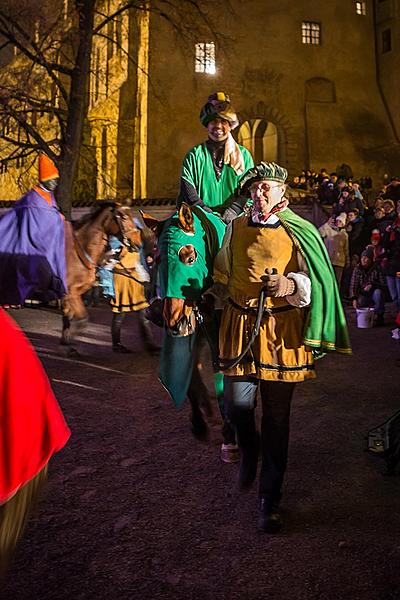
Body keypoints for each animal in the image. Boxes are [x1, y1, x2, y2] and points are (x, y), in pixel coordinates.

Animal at [61, 203, 143, 350]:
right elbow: (82, 320)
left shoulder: (73, 294)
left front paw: (66, 341)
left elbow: (68, 318)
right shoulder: (71, 292)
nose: (137, 243)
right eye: (123, 217)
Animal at [142, 203, 236, 450]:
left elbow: (221, 375)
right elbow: (191, 374)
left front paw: (229, 431)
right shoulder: (187, 334)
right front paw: (200, 423)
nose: (171, 318)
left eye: (190, 257)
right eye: (157, 260)